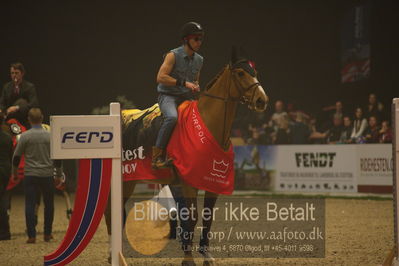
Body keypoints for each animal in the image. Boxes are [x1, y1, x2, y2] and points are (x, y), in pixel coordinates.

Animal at [104, 46, 270, 264]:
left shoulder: (212, 184)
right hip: (125, 180)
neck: (209, 128)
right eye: (241, 73)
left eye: (255, 72)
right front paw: (188, 258)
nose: (262, 100)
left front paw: (206, 254)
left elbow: (207, 217)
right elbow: (191, 217)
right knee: (111, 212)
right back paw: (111, 254)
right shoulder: (187, 184)